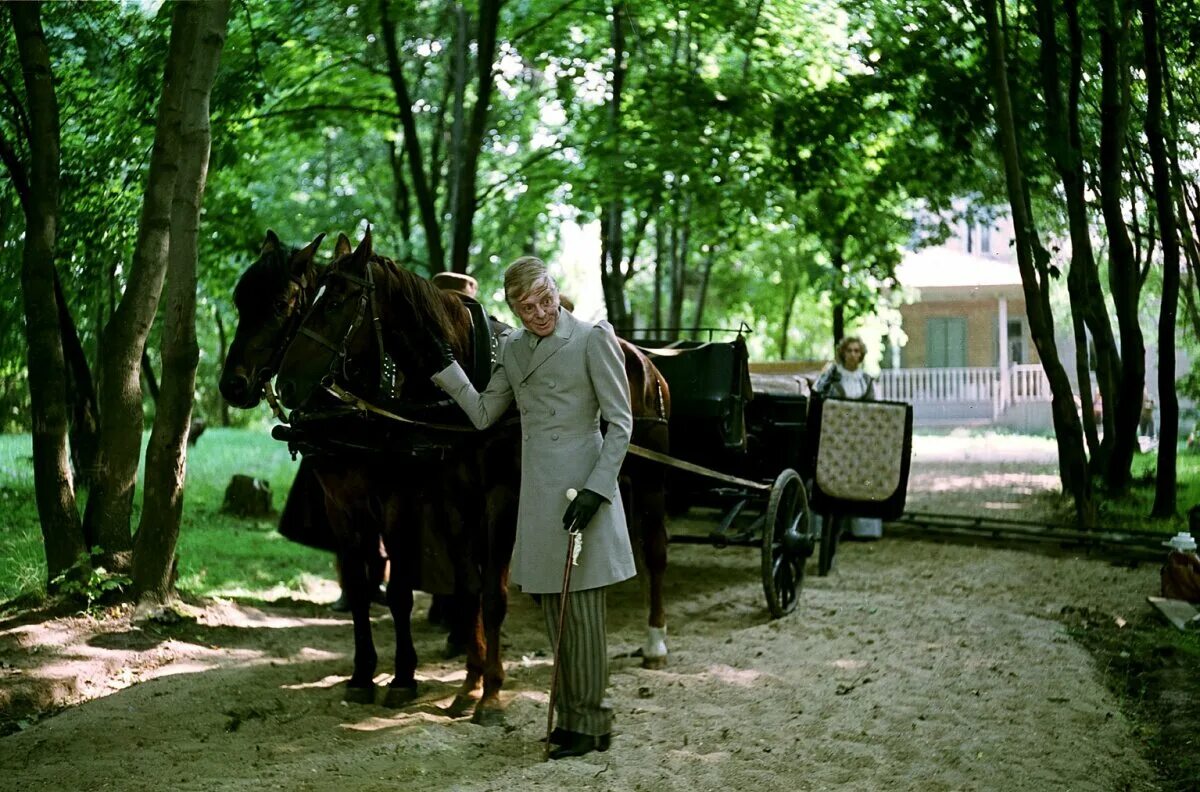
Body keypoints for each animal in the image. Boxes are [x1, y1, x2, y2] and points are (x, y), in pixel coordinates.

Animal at [274, 230, 676, 724]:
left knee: (655, 551)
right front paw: (469, 685)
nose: (286, 384)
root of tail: (641, 357)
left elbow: (492, 597)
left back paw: (655, 640)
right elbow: (468, 591)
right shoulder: (453, 500)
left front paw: (492, 693)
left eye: (334, 303)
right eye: (309, 299)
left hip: (652, 480)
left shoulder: (499, 500)